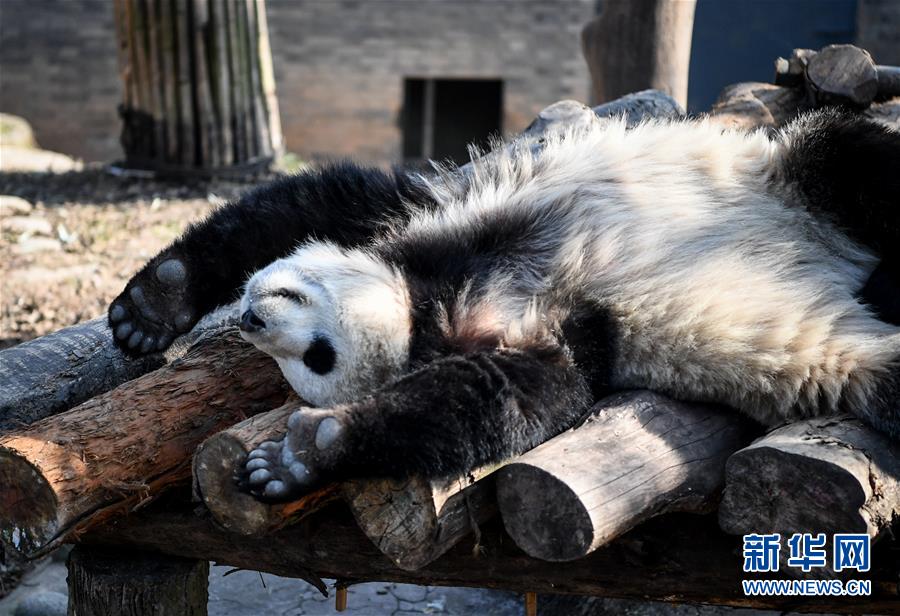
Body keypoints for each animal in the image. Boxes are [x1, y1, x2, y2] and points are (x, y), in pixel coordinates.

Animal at [110, 108, 900, 502]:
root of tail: (840, 266)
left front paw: (302, 454)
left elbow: (328, 199)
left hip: (788, 179)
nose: (253, 321)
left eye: (318, 355)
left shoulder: (450, 222)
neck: (431, 299)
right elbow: (515, 393)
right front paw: (155, 306)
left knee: (851, 155)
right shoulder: (553, 324)